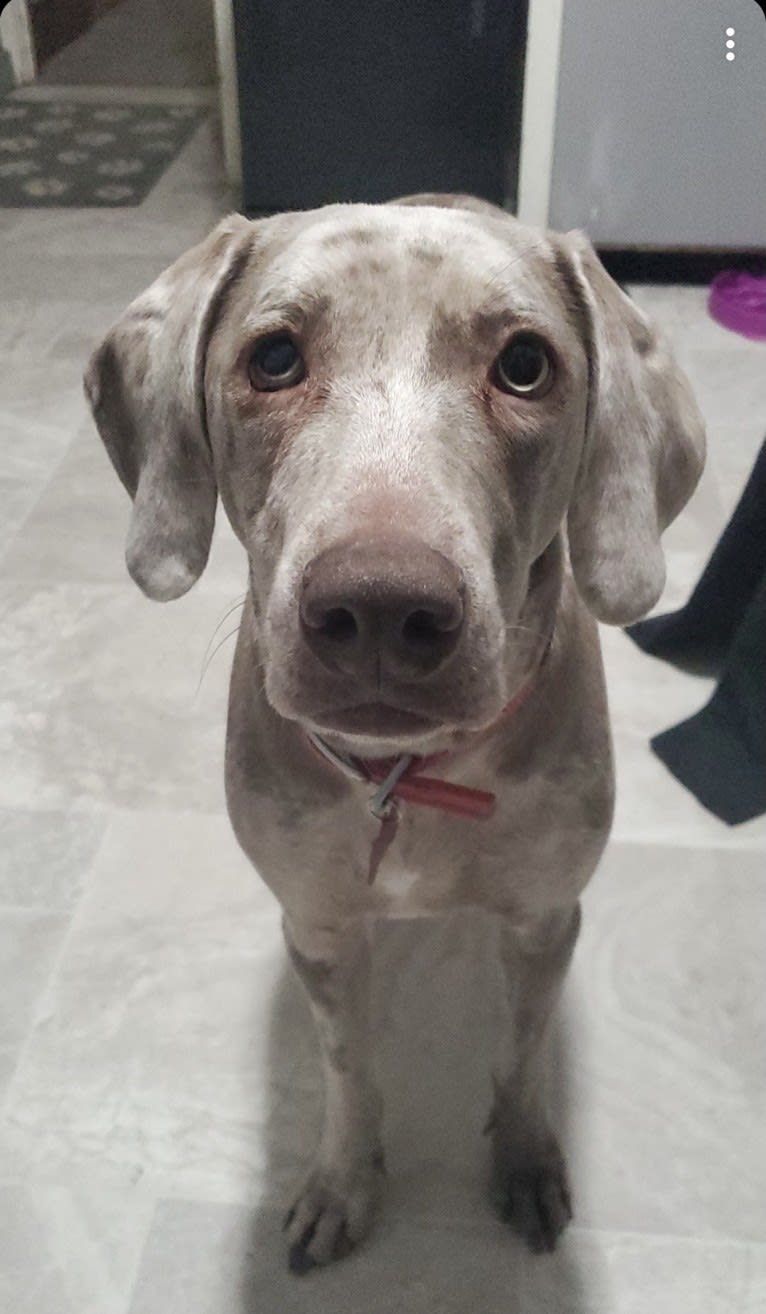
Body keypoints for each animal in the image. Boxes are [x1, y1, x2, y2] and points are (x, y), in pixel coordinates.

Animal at [85, 191, 709, 1271]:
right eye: (274, 358)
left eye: (525, 365)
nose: (380, 609)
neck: (404, 778)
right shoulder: (319, 926)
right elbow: (348, 1069)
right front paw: (343, 1183)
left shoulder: (547, 916)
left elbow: (522, 1054)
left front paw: (524, 1158)